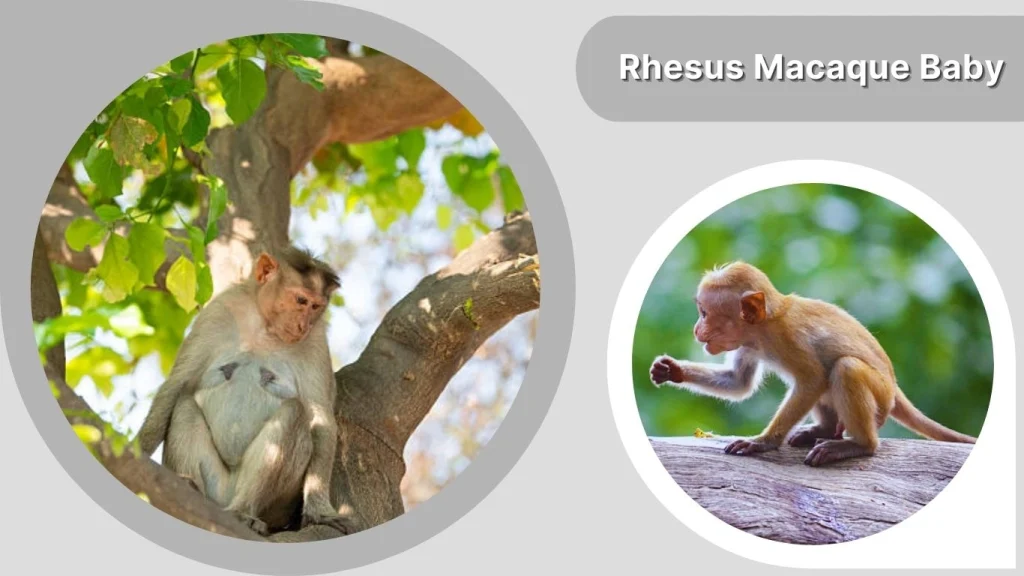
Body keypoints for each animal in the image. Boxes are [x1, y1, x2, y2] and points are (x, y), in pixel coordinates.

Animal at [135, 245, 354, 535]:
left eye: (316, 307)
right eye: (301, 301)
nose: (302, 326)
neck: (264, 325)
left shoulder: (315, 341)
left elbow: (320, 417)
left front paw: (320, 511)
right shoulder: (219, 311)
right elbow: (177, 385)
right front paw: (133, 450)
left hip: (275, 504)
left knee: (294, 413)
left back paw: (244, 511)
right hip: (217, 486)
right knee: (183, 404)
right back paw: (190, 488)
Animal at [649, 261, 976, 467]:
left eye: (704, 313)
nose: (696, 329)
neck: (765, 325)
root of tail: (894, 388)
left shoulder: (788, 337)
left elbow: (812, 379)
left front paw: (764, 442)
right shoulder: (748, 343)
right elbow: (738, 382)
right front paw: (671, 370)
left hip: (880, 399)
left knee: (844, 369)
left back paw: (859, 445)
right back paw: (824, 430)